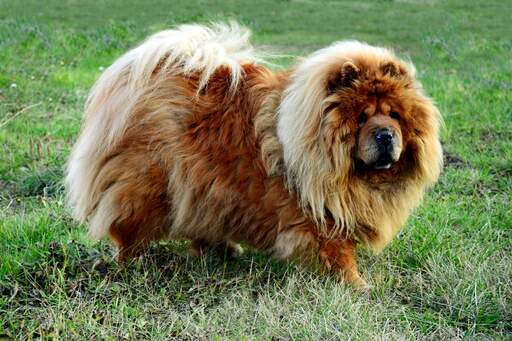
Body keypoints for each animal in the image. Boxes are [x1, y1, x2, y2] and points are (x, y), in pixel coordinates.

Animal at [67, 21, 444, 286]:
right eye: (362, 117)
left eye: (395, 115)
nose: (385, 134)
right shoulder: (320, 217)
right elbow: (337, 254)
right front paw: (357, 285)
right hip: (152, 182)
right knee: (127, 231)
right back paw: (135, 263)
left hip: (203, 187)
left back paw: (221, 251)